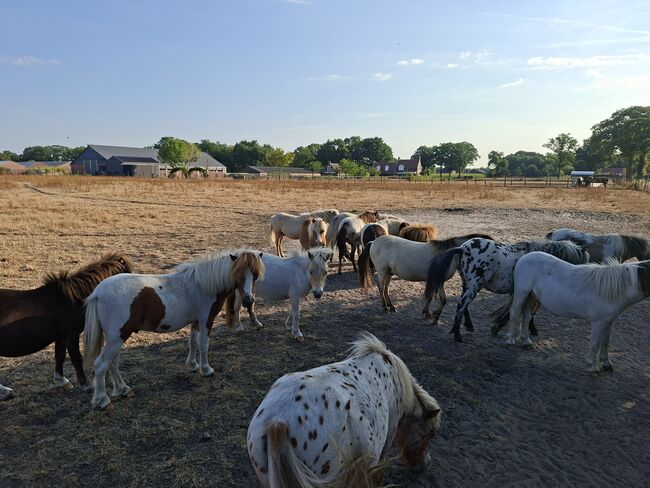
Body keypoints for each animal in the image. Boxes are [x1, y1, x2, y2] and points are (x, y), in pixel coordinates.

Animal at [0, 253, 132, 400]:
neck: (72, 300)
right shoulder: (71, 336)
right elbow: (76, 359)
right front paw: (87, 385)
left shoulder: (61, 337)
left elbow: (60, 356)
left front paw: (61, 381)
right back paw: (4, 392)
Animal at [83, 250, 264, 409]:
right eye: (239, 273)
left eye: (255, 275)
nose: (249, 300)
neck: (202, 285)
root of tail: (98, 292)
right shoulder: (206, 320)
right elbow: (204, 345)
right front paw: (206, 369)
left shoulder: (195, 321)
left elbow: (193, 343)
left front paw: (193, 365)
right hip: (117, 337)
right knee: (101, 364)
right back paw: (102, 400)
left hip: (118, 337)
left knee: (113, 363)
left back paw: (123, 389)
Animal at [358, 233, 493, 319]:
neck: (449, 254)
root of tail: (374, 242)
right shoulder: (436, 280)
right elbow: (434, 298)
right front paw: (429, 314)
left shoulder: (439, 281)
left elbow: (441, 299)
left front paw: (431, 313)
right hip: (382, 272)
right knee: (381, 287)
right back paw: (385, 308)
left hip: (389, 273)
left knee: (386, 288)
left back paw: (391, 306)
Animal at [425, 238, 590, 342]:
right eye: (580, 262)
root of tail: (463, 248)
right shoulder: (529, 294)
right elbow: (526, 312)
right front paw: (501, 327)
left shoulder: (519, 292)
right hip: (475, 285)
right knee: (462, 304)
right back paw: (457, 334)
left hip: (468, 284)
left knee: (463, 304)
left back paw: (467, 326)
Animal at [492, 252, 650, 372]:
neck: (615, 289)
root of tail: (524, 257)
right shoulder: (598, 322)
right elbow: (595, 343)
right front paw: (593, 366)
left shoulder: (607, 321)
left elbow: (605, 341)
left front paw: (606, 363)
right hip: (522, 292)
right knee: (514, 313)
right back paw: (510, 340)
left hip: (533, 296)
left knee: (526, 316)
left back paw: (526, 341)